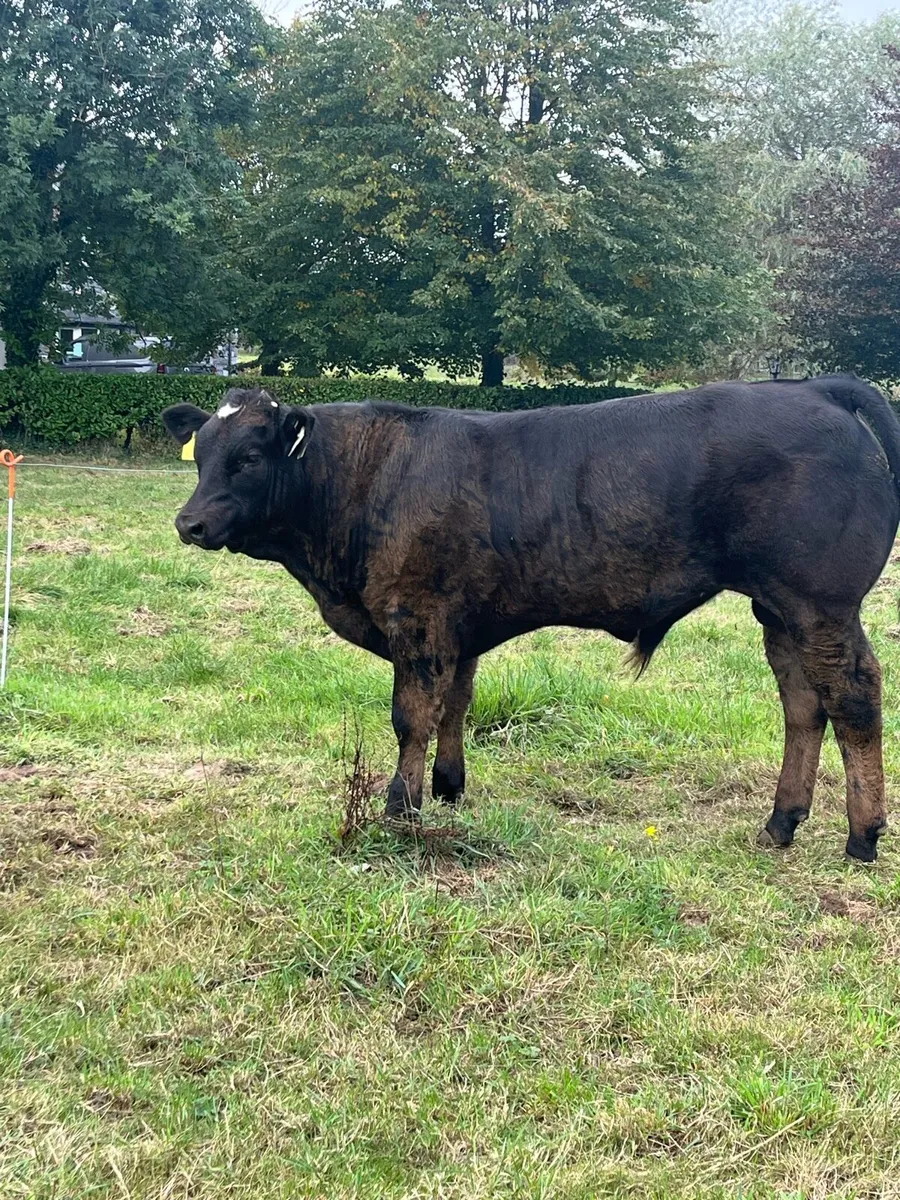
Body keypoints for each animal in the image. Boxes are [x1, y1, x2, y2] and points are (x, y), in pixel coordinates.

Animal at [163, 375, 900, 862]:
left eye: (248, 457)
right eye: (199, 456)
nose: (188, 523)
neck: (363, 479)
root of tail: (813, 387)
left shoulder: (417, 621)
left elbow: (411, 718)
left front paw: (400, 810)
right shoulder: (457, 628)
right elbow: (455, 706)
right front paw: (449, 787)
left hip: (821, 605)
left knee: (853, 697)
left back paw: (861, 836)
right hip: (779, 611)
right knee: (803, 705)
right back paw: (781, 822)